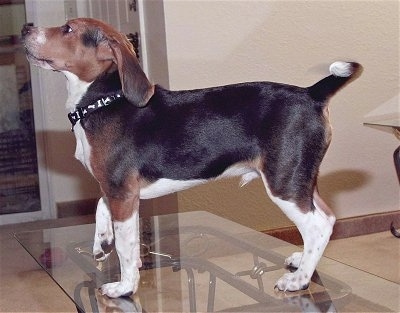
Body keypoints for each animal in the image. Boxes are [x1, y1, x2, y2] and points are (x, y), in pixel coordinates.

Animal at [20, 17, 360, 298]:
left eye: (67, 29)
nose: (25, 29)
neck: (102, 101)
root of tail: (310, 93)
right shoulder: (117, 191)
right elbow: (100, 208)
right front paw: (102, 242)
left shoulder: (121, 192)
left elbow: (127, 248)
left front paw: (124, 286)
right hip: (301, 178)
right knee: (327, 217)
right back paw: (302, 260)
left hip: (283, 183)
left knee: (318, 226)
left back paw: (299, 280)